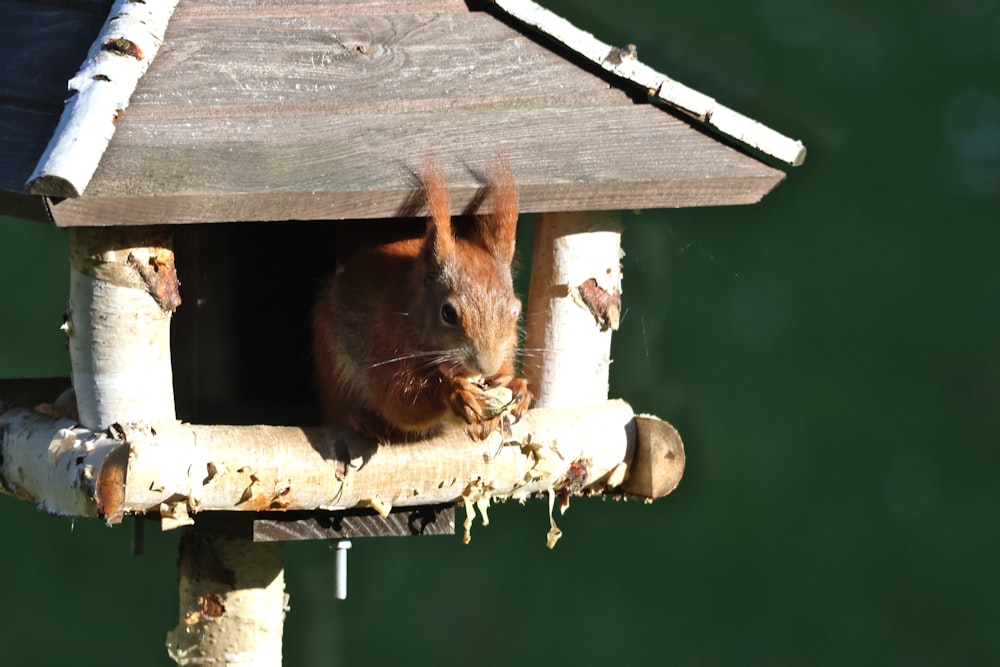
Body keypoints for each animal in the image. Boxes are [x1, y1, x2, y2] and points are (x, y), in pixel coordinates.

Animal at [310, 154, 532, 440]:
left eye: (516, 310)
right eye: (448, 313)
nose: (485, 366)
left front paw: (518, 386)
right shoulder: (386, 343)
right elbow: (399, 401)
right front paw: (454, 391)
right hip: (331, 357)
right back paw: (363, 419)